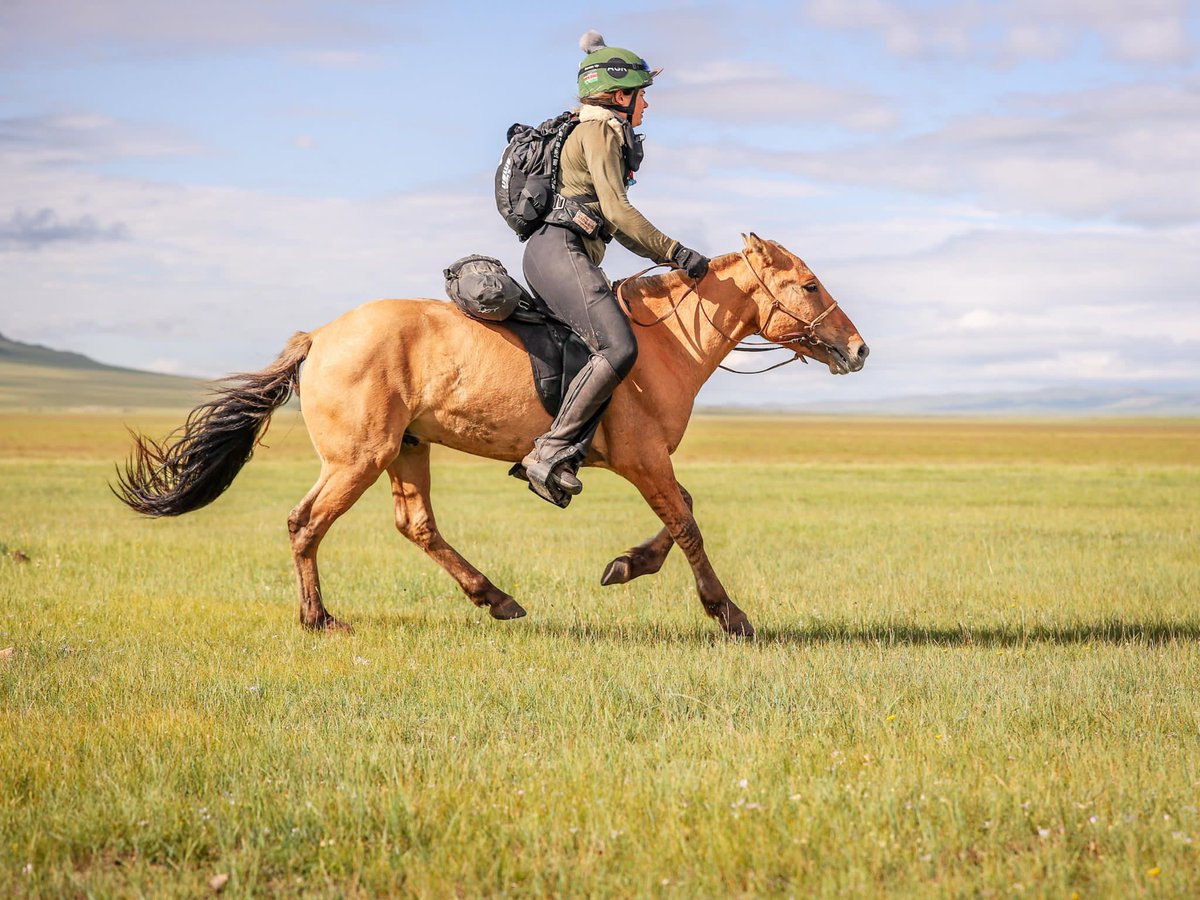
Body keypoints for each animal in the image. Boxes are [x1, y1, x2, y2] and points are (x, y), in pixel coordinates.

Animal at [119, 236, 873, 638]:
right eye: (809, 285)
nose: (859, 350)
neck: (667, 342)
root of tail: (321, 336)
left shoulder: (645, 461)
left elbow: (681, 515)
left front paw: (625, 565)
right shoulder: (642, 459)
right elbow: (688, 523)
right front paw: (730, 613)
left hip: (405, 450)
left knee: (416, 525)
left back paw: (496, 598)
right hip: (358, 457)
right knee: (306, 522)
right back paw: (321, 620)